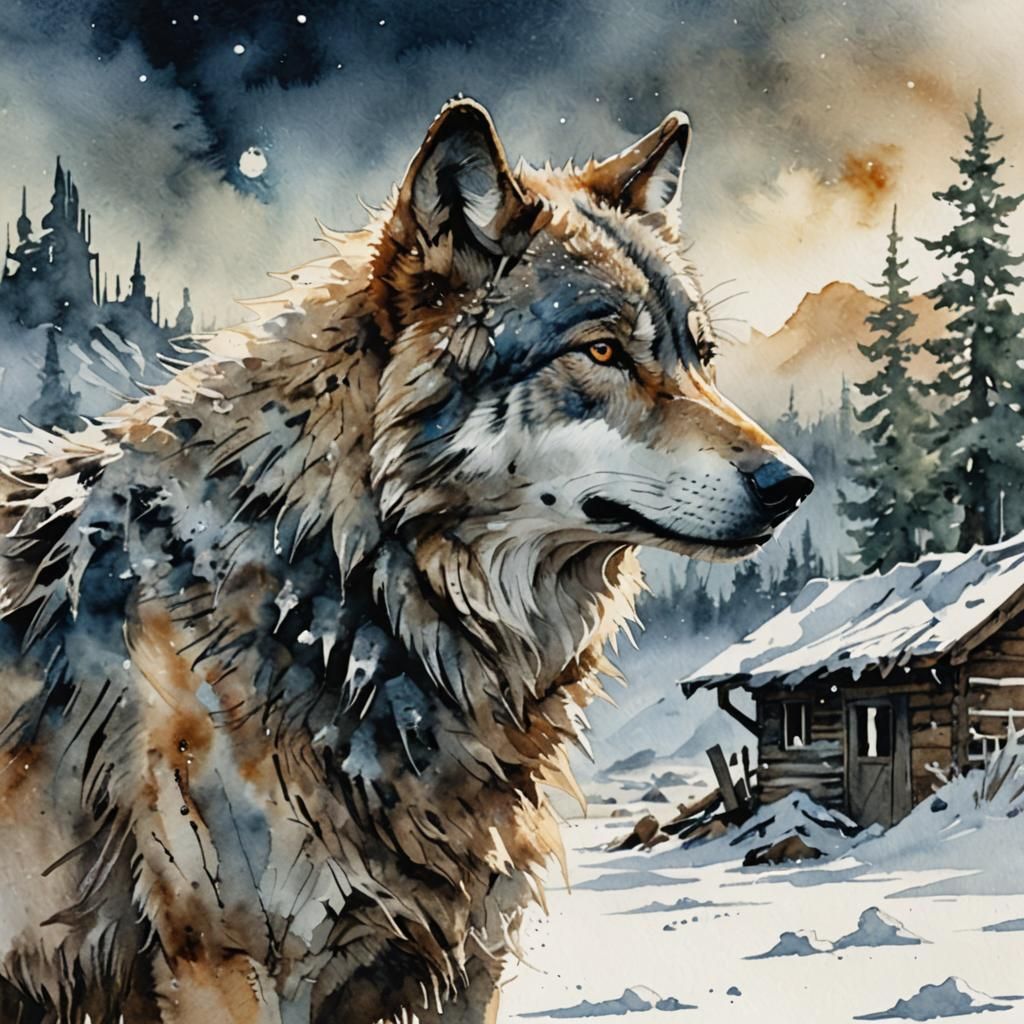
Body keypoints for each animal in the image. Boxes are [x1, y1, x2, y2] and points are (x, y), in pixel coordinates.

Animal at [0, 99, 811, 1023]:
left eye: (699, 357)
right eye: (603, 352)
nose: (790, 484)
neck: (344, 596)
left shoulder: (470, 959)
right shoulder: (226, 973)